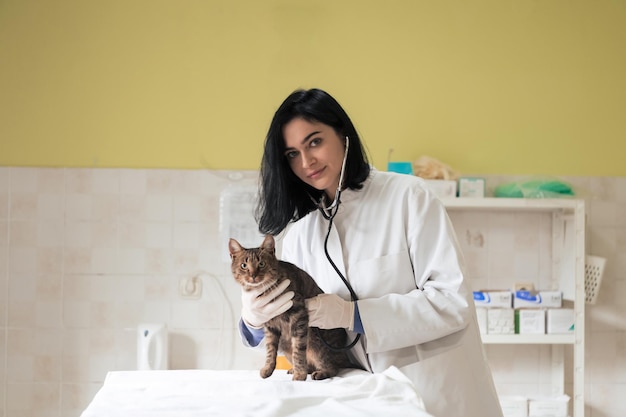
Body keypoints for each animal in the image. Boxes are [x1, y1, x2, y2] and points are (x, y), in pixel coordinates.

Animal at [229, 234, 356, 380]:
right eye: (244, 265)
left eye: (261, 264)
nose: (253, 275)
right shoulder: (269, 324)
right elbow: (270, 350)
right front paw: (268, 369)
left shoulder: (298, 315)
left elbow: (298, 350)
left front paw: (300, 373)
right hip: (286, 346)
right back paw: (296, 369)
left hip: (318, 344)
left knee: (333, 367)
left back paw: (320, 372)